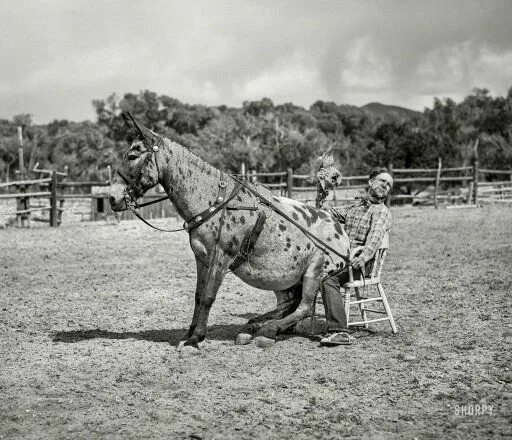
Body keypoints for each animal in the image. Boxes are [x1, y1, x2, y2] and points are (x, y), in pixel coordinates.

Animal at [107, 113, 348, 350]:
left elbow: (208, 297)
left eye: (132, 155)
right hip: (285, 279)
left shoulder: (221, 258)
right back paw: (251, 329)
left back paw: (267, 332)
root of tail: (340, 230)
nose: (112, 197)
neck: (215, 202)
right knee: (289, 305)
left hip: (314, 272)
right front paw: (189, 334)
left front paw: (196, 339)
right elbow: (198, 296)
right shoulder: (202, 259)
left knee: (304, 308)